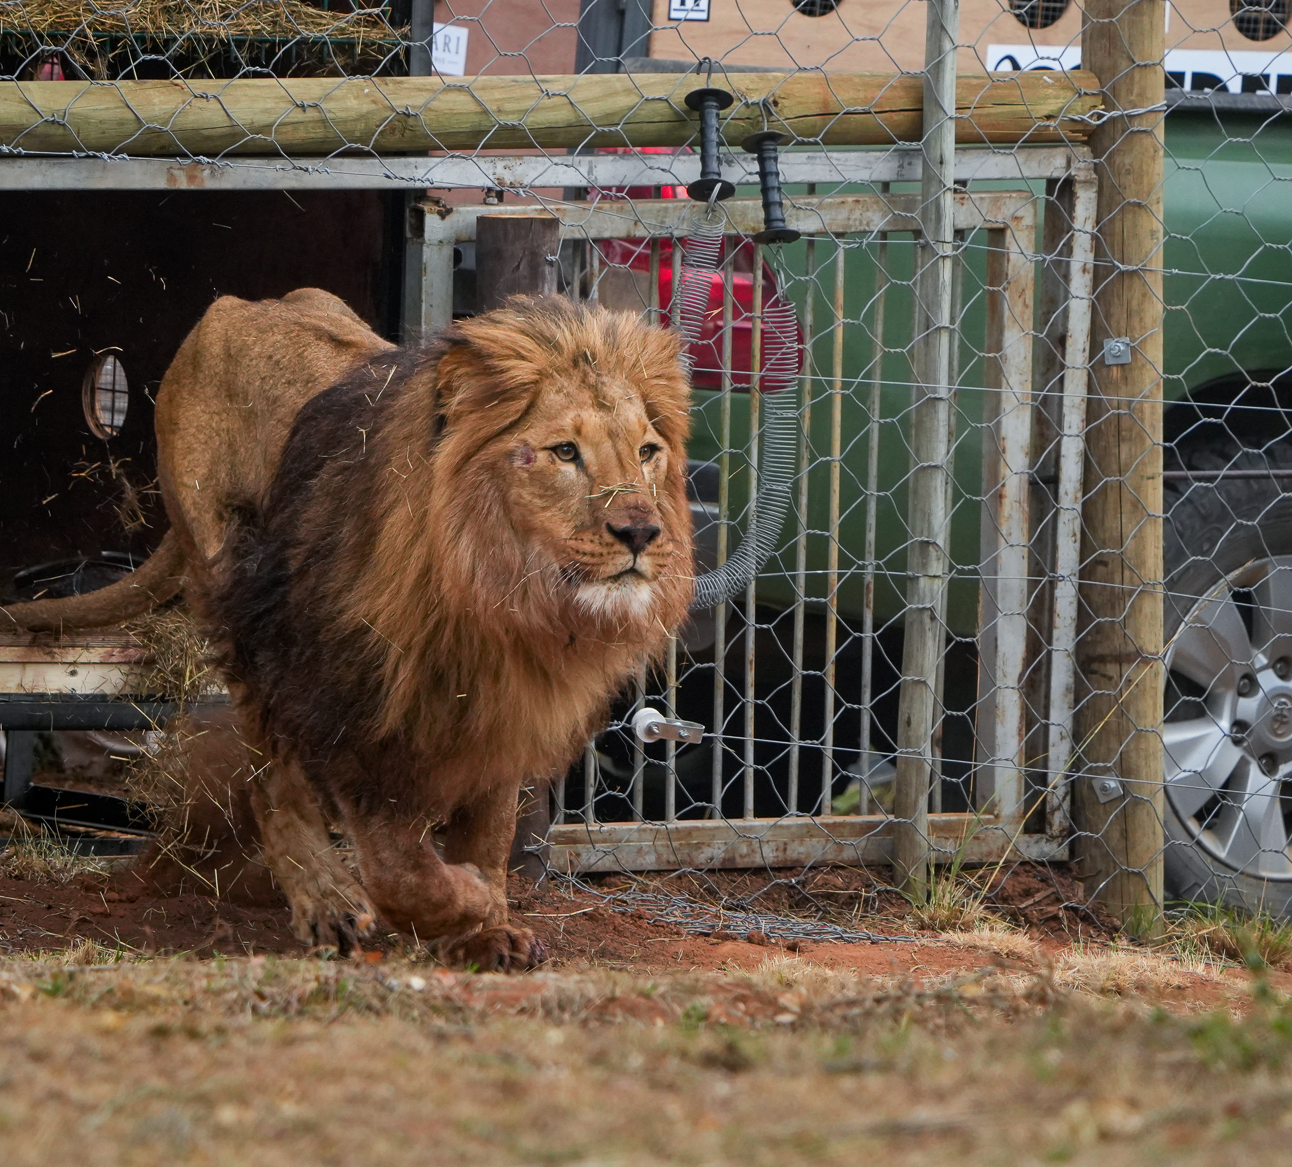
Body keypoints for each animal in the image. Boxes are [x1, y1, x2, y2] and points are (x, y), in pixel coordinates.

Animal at [0, 289, 697, 966]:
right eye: (564, 453)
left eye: (647, 453)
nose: (641, 532)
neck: (494, 603)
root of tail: (242, 307)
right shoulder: (353, 712)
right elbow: (400, 870)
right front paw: (463, 898)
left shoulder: (501, 718)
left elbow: (490, 834)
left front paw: (488, 928)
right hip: (244, 603)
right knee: (272, 784)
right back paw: (326, 902)